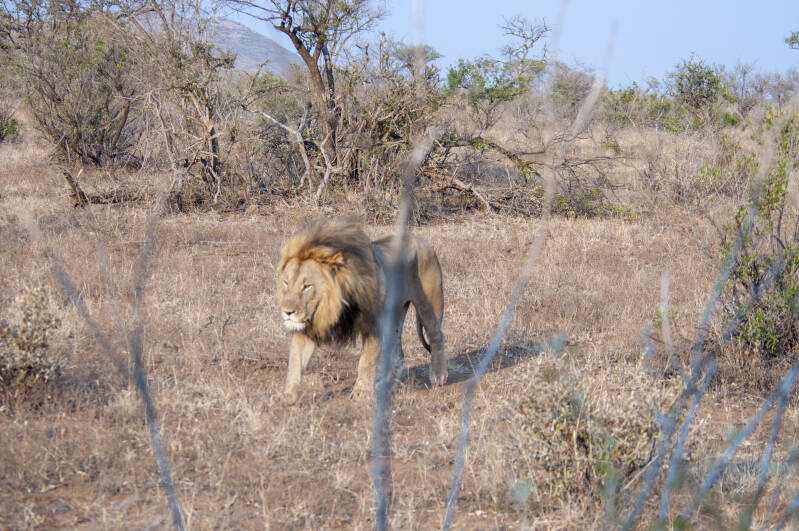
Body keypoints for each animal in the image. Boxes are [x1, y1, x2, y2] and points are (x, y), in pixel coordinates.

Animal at [276, 219, 447, 403]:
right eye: (286, 283)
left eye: (307, 286)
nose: (287, 312)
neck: (331, 307)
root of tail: (420, 239)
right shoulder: (307, 328)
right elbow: (295, 362)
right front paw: (287, 396)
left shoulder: (373, 325)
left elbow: (366, 361)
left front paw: (362, 392)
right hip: (395, 314)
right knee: (398, 354)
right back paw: (385, 385)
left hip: (429, 303)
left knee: (437, 336)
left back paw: (438, 376)